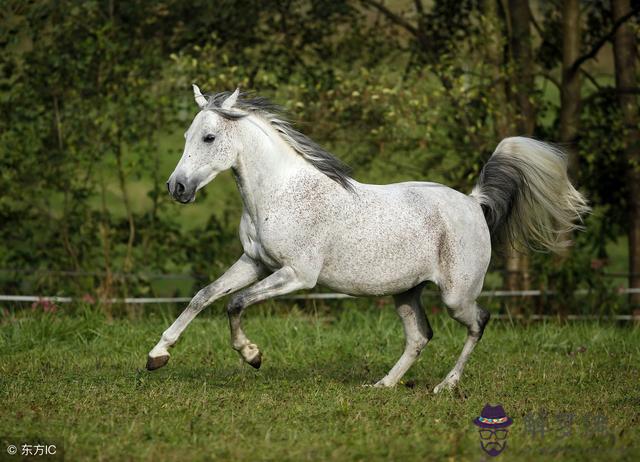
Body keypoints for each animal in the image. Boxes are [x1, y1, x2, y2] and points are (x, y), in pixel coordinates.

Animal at [148, 85, 588, 392]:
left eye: (208, 138)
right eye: (186, 136)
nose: (177, 188)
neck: (279, 191)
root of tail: (473, 202)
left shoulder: (297, 275)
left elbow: (235, 303)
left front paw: (252, 355)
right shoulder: (254, 262)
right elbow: (204, 296)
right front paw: (157, 355)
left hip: (456, 295)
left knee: (479, 322)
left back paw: (446, 386)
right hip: (406, 292)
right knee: (419, 336)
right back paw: (382, 385)